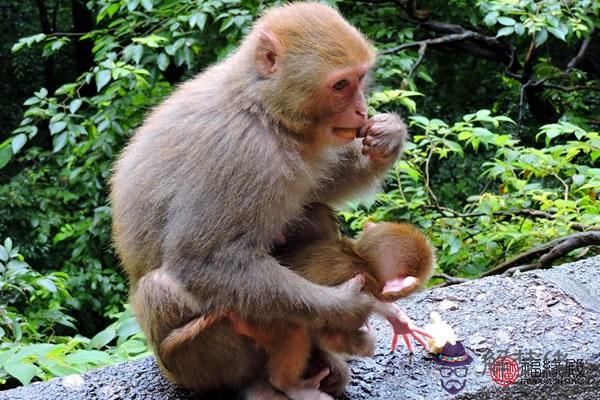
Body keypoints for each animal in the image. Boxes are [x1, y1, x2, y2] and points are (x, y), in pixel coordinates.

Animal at [110, 3, 406, 400]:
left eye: (360, 79)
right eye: (341, 85)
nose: (361, 111)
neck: (262, 108)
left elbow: (320, 187)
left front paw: (388, 136)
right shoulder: (240, 153)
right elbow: (203, 261)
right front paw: (345, 306)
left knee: (314, 210)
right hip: (186, 363)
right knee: (162, 287)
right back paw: (266, 381)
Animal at [229, 205, 432, 398]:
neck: (359, 259)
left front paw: (399, 320)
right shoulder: (357, 279)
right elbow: (331, 333)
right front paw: (368, 342)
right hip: (260, 322)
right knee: (295, 330)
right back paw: (288, 385)